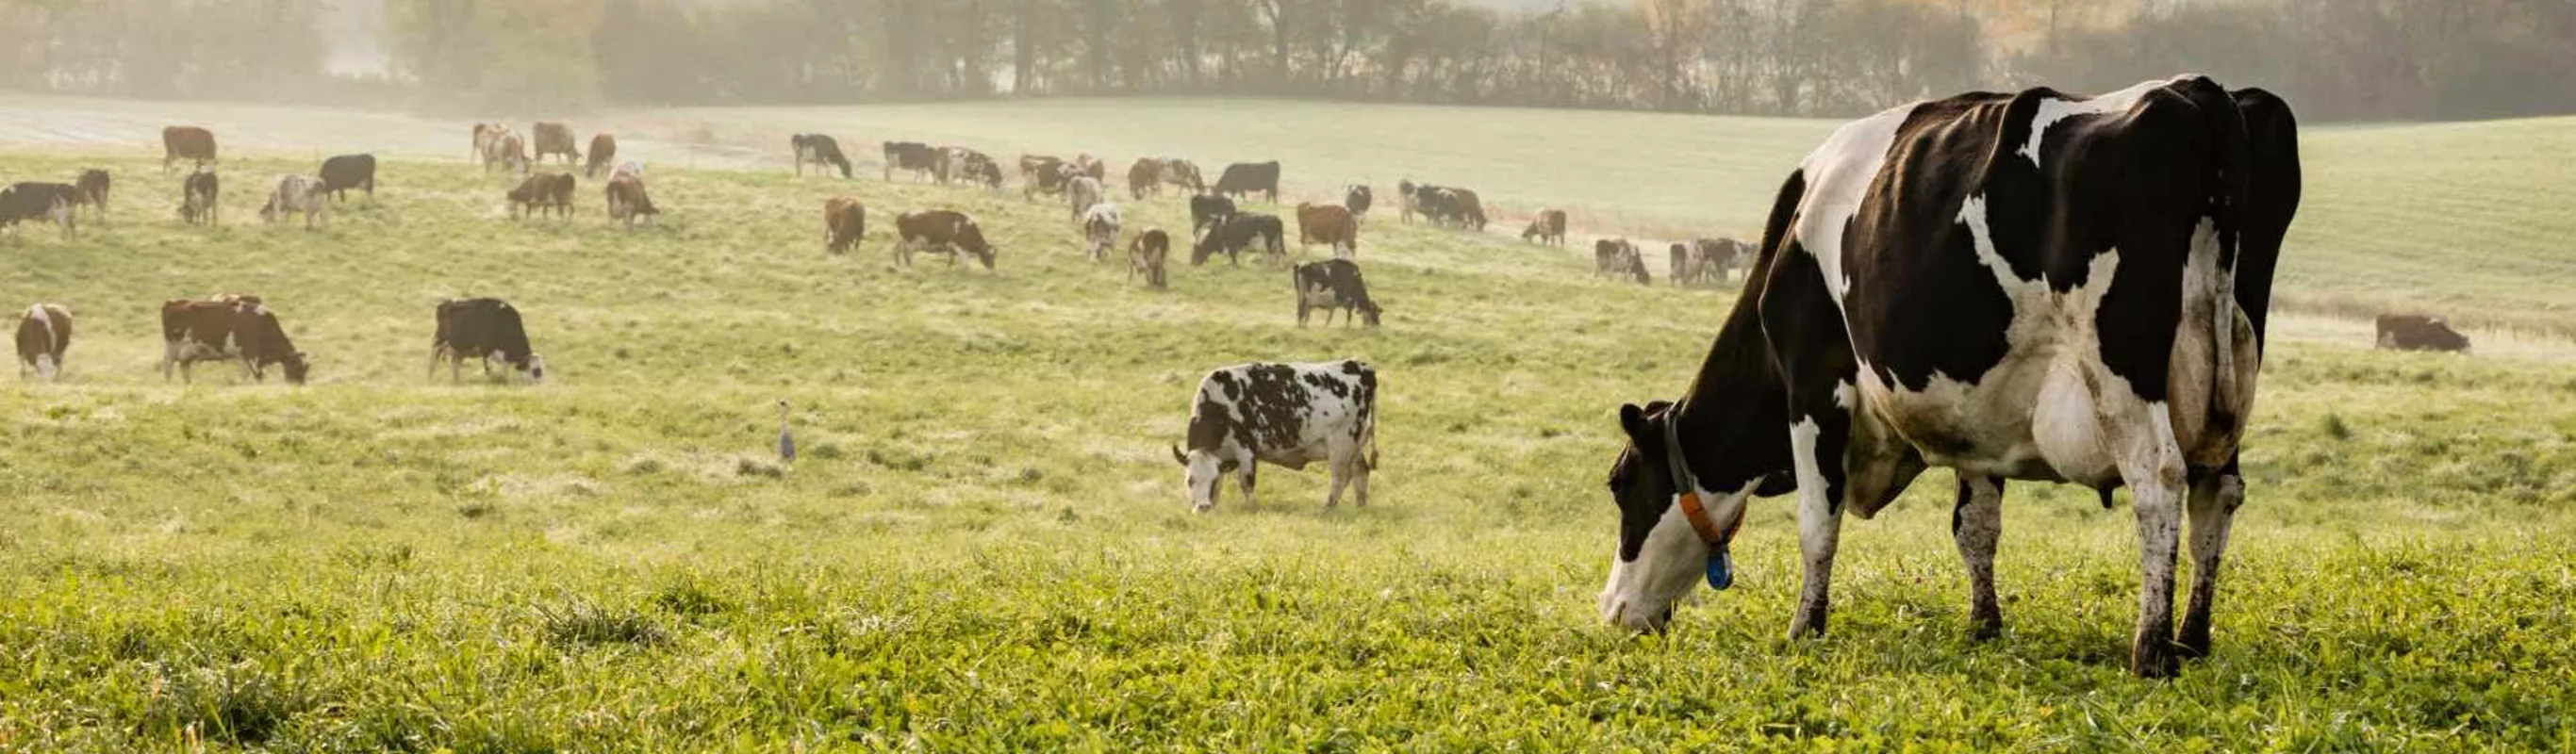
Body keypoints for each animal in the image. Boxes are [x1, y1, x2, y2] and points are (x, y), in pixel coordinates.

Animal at [160, 295, 310, 385]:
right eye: (297, 367)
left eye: (305, 369)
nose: (300, 386)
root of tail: (172, 303)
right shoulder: (252, 355)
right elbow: (258, 376)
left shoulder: (241, 357)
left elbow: (245, 375)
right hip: (173, 347)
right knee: (168, 367)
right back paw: (169, 384)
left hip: (187, 353)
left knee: (184, 367)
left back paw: (189, 384)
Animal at [1169, 359, 1378, 513]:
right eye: (1190, 480)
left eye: (1210, 480)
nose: (1202, 508)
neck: (1221, 405)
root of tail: (1360, 366)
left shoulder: (1245, 450)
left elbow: (1246, 482)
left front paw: (1252, 508)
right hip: (1356, 445)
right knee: (1361, 471)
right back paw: (1360, 506)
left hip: (1341, 443)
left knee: (1339, 478)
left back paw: (1328, 508)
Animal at [1593, 78, 2300, 680]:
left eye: (1621, 484)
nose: (1613, 610)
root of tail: (2197, 91)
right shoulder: (1978, 414)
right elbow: (1975, 525)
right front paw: (1983, 625)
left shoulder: (1814, 383)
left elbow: (1817, 523)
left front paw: (1803, 629)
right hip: (2230, 375)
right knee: (2217, 492)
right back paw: (2194, 637)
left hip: (2122, 368)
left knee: (2159, 480)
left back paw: (2152, 649)